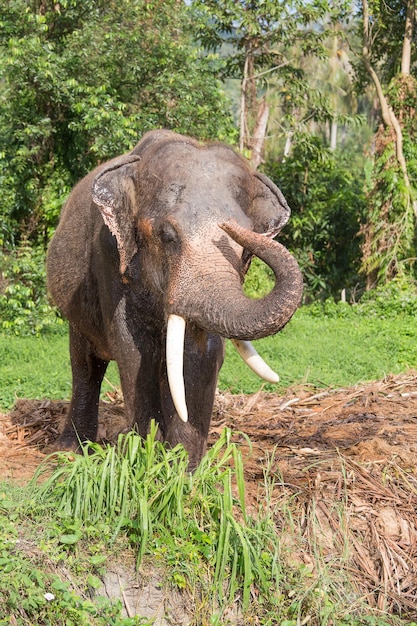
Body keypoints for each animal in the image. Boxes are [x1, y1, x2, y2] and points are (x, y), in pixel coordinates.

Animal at [47, 128, 302, 468]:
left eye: (245, 248)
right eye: (168, 236)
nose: (230, 226)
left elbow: (196, 353)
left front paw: (182, 468)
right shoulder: (110, 254)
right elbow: (134, 349)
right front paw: (146, 461)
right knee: (86, 363)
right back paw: (70, 451)